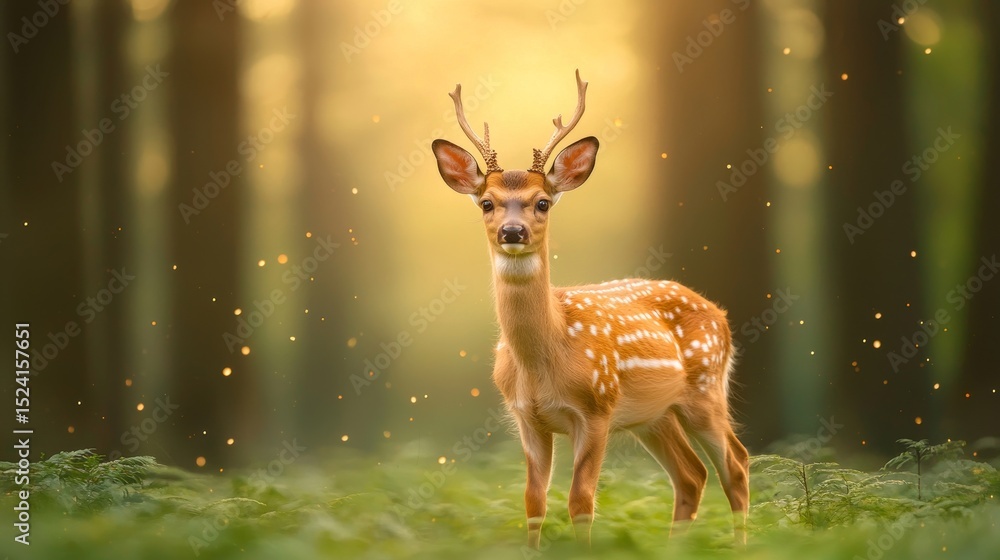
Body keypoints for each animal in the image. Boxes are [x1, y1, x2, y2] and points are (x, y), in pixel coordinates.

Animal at [431, 70, 749, 548]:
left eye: (542, 202)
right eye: (487, 203)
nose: (512, 231)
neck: (547, 359)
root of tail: (722, 316)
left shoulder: (598, 409)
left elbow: (581, 501)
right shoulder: (526, 418)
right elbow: (533, 502)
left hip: (705, 388)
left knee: (737, 464)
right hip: (654, 415)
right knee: (692, 475)